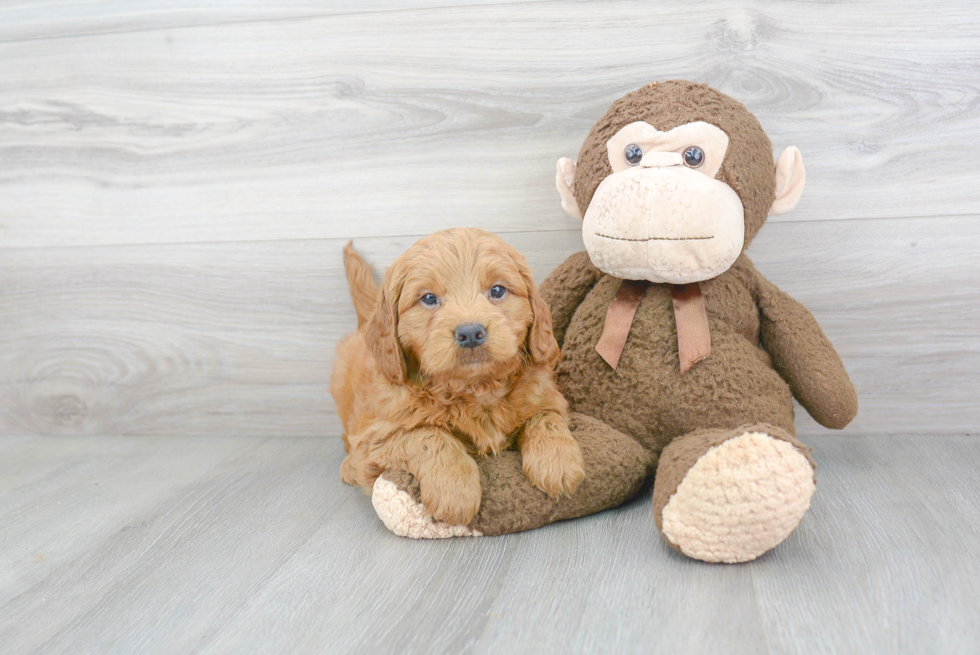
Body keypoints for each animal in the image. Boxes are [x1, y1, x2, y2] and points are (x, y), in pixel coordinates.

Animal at [334, 228, 584, 524]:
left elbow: (545, 417)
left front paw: (557, 462)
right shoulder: (375, 438)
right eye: (429, 298)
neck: (474, 389)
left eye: (497, 290)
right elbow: (428, 435)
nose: (470, 333)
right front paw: (454, 491)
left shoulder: (546, 396)